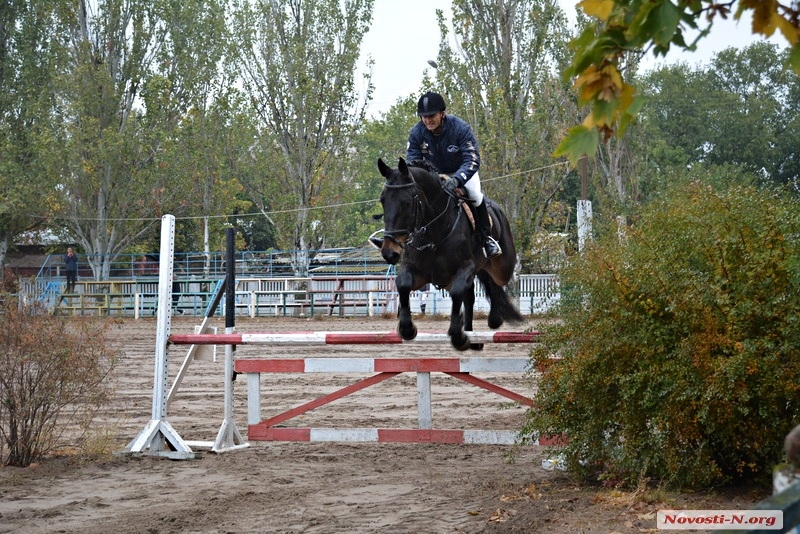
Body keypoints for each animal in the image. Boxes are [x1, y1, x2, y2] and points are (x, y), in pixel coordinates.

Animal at [376, 157, 524, 352]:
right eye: (383, 200)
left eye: (407, 202)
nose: (389, 252)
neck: (434, 233)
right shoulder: (419, 272)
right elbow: (403, 284)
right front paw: (407, 329)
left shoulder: (466, 267)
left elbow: (457, 292)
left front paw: (458, 336)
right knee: (470, 297)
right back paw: (472, 336)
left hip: (502, 267)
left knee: (494, 282)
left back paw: (493, 319)